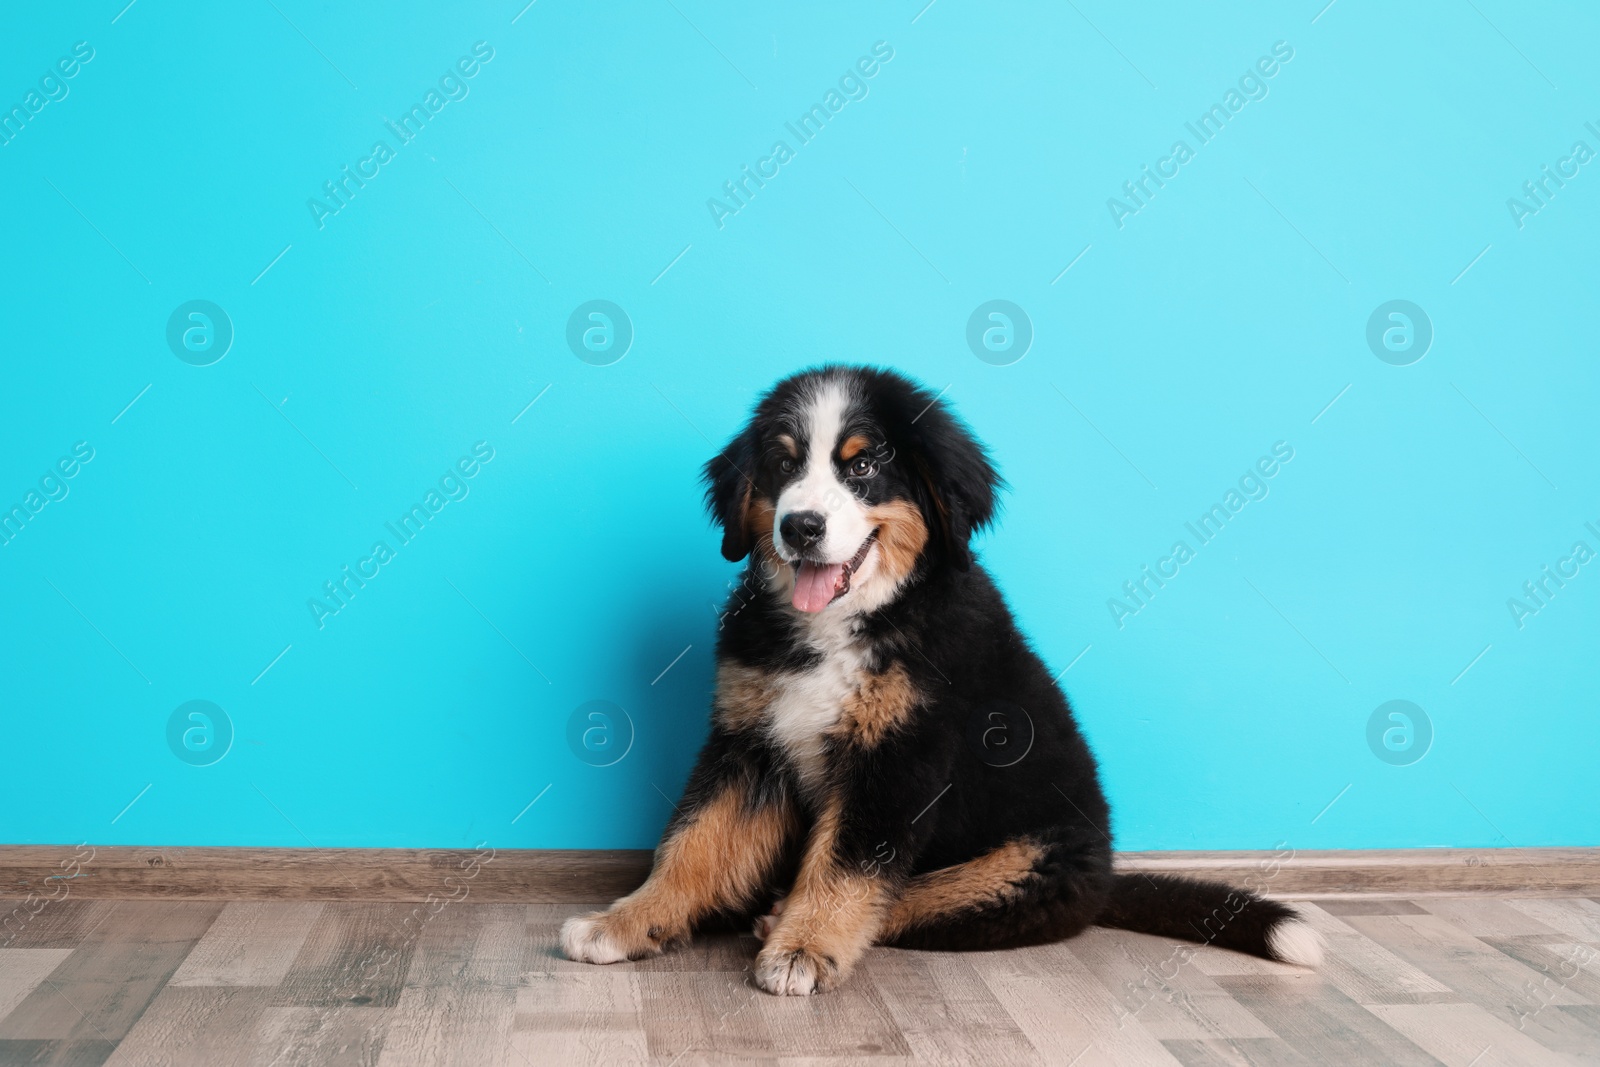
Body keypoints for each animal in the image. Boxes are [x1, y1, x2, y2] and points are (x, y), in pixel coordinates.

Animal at [563, 364, 1324, 991]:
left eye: (863, 465)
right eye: (781, 466)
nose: (800, 526)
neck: (846, 625)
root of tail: (1105, 878)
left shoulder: (898, 756)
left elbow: (847, 866)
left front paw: (804, 949)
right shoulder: (748, 741)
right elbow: (692, 842)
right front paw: (626, 922)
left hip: (1028, 861)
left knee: (916, 899)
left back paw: (783, 921)